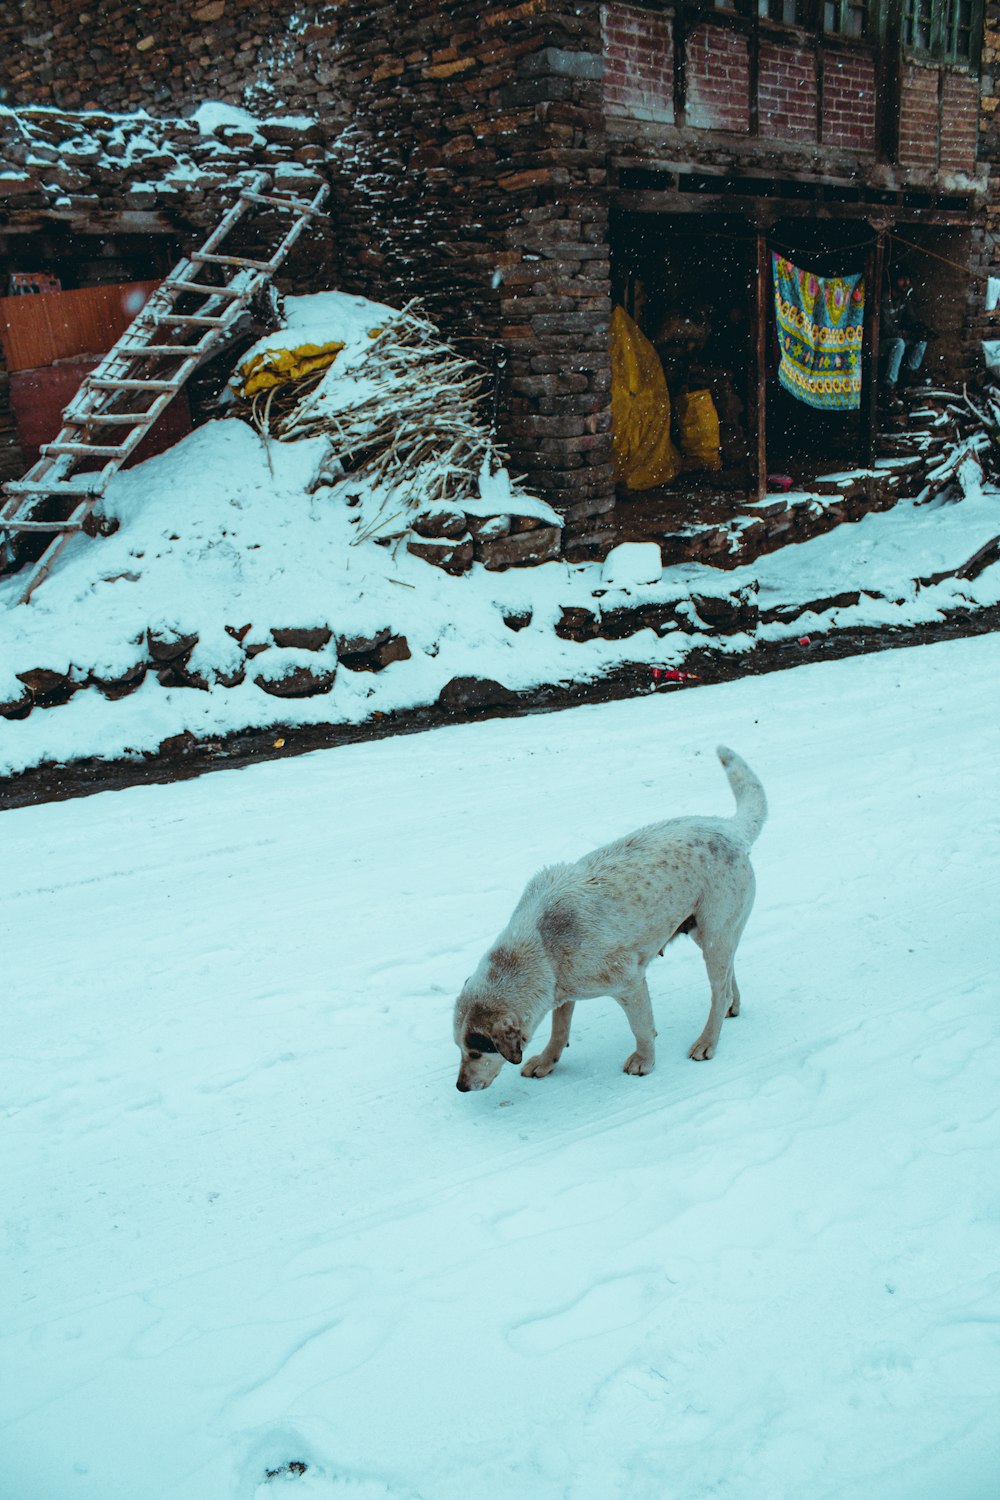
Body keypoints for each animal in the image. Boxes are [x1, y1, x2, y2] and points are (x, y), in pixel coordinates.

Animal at [452, 747, 767, 1092]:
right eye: (459, 1049)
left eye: (475, 1052)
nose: (460, 1086)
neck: (542, 949)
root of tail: (730, 829)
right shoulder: (563, 994)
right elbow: (559, 1031)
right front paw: (547, 1062)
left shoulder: (630, 982)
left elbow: (642, 1028)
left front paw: (644, 1061)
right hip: (711, 935)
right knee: (728, 976)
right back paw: (732, 1008)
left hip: (714, 934)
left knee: (718, 991)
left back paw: (707, 1040)